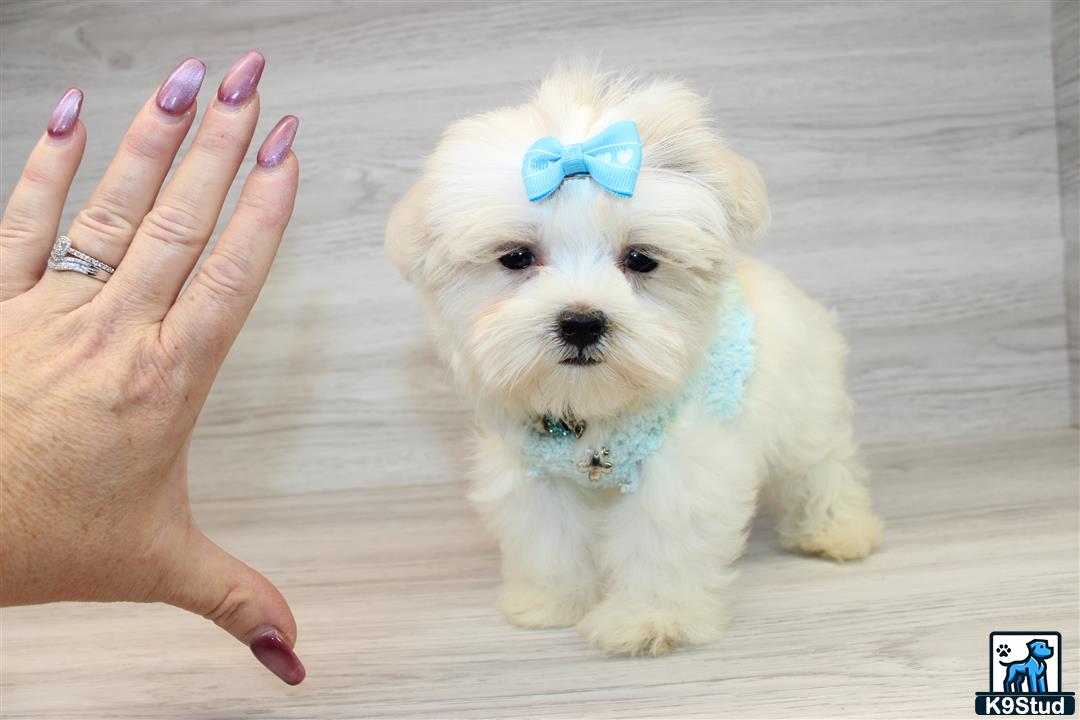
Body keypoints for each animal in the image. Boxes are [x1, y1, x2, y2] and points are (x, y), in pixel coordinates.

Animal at [388, 69, 885, 660]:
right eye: (516, 257)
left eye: (641, 259)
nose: (581, 322)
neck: (591, 411)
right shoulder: (535, 475)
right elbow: (549, 540)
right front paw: (552, 601)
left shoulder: (680, 472)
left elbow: (661, 542)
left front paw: (650, 620)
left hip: (805, 407)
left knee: (823, 466)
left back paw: (838, 531)